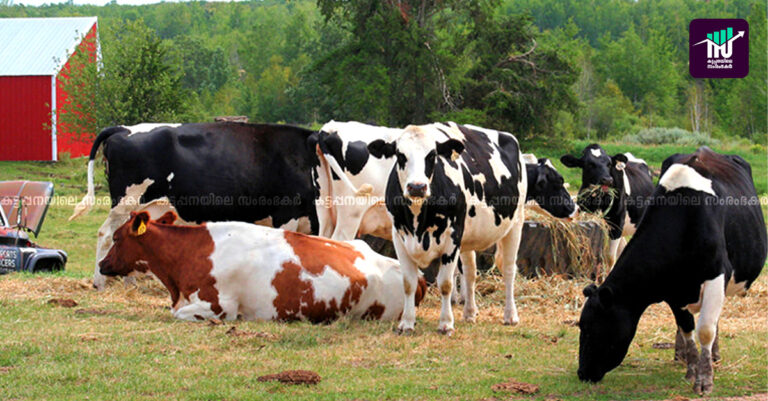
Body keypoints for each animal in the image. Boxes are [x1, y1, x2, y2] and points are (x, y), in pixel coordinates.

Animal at [368, 120, 528, 332]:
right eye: (400, 155)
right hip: (469, 236)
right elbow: (409, 283)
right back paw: (469, 313)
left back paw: (510, 315)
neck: (418, 221)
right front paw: (407, 323)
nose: (417, 187)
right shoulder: (399, 237)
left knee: (508, 269)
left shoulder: (452, 238)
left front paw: (445, 323)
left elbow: (445, 283)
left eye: (432, 155)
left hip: (515, 223)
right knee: (470, 272)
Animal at [576, 146, 768, 394]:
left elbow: (705, 329)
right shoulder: (673, 288)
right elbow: (686, 328)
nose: (582, 373)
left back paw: (713, 355)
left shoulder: (716, 275)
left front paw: (704, 380)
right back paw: (681, 355)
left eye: (592, 328)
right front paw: (691, 369)